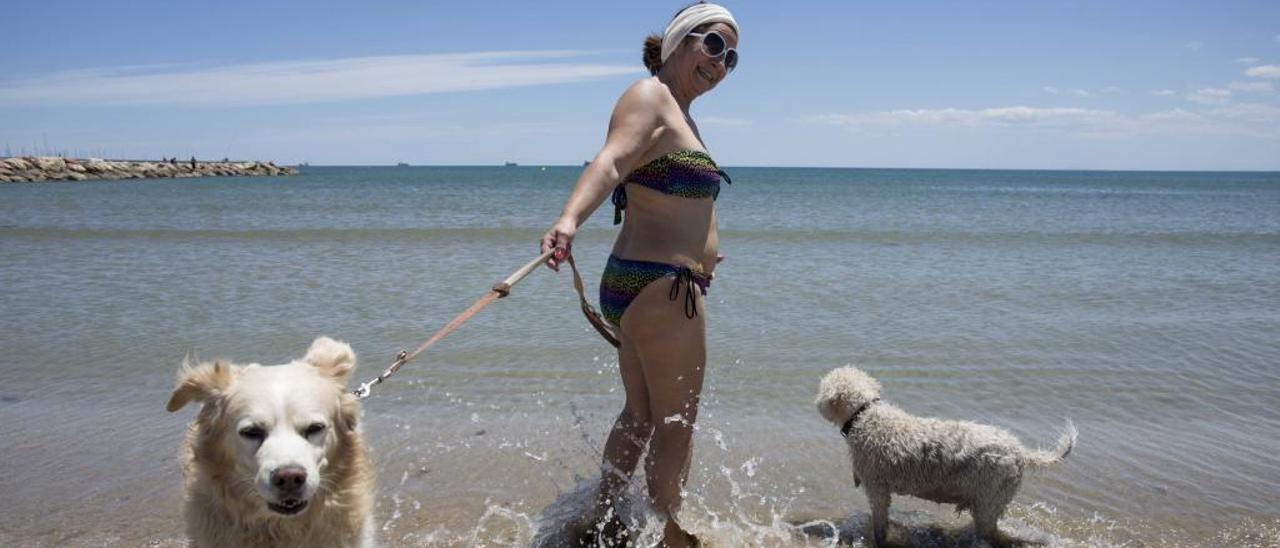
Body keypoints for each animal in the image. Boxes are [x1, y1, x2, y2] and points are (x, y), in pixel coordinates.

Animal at [814, 363, 1075, 548]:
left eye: (823, 386)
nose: (815, 402)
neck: (865, 415)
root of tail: (1019, 451)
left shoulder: (877, 487)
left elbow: (880, 522)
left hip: (989, 498)